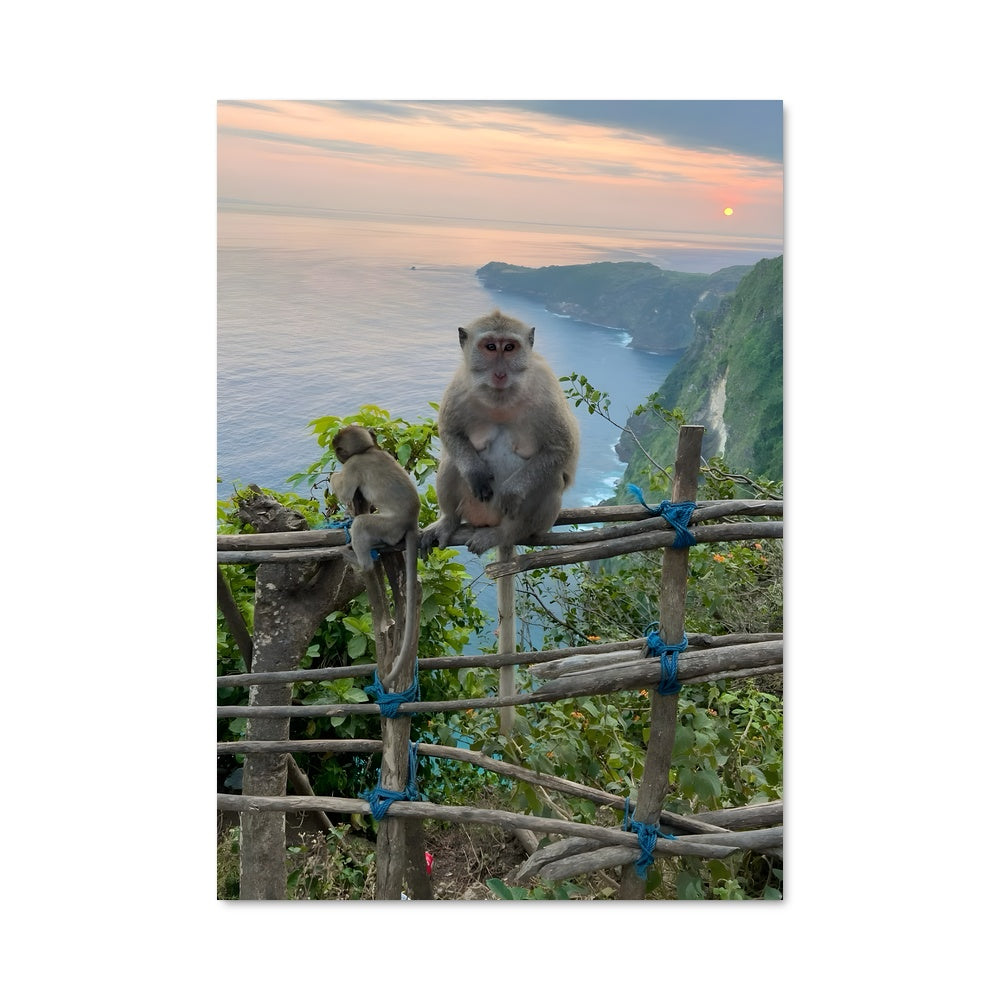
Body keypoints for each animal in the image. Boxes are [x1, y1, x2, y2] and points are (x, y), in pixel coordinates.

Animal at [328, 425, 420, 572]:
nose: (338, 457)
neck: (367, 451)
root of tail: (412, 522)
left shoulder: (353, 464)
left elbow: (345, 494)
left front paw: (334, 475)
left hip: (390, 527)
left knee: (360, 523)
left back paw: (362, 564)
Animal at [420, 309, 580, 556]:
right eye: (491, 347)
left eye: (509, 347)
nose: (500, 373)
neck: (501, 397)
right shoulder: (459, 385)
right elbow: (451, 433)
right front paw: (475, 473)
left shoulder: (546, 389)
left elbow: (560, 448)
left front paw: (511, 492)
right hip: (473, 509)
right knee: (452, 462)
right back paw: (448, 521)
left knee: (551, 477)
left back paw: (505, 533)